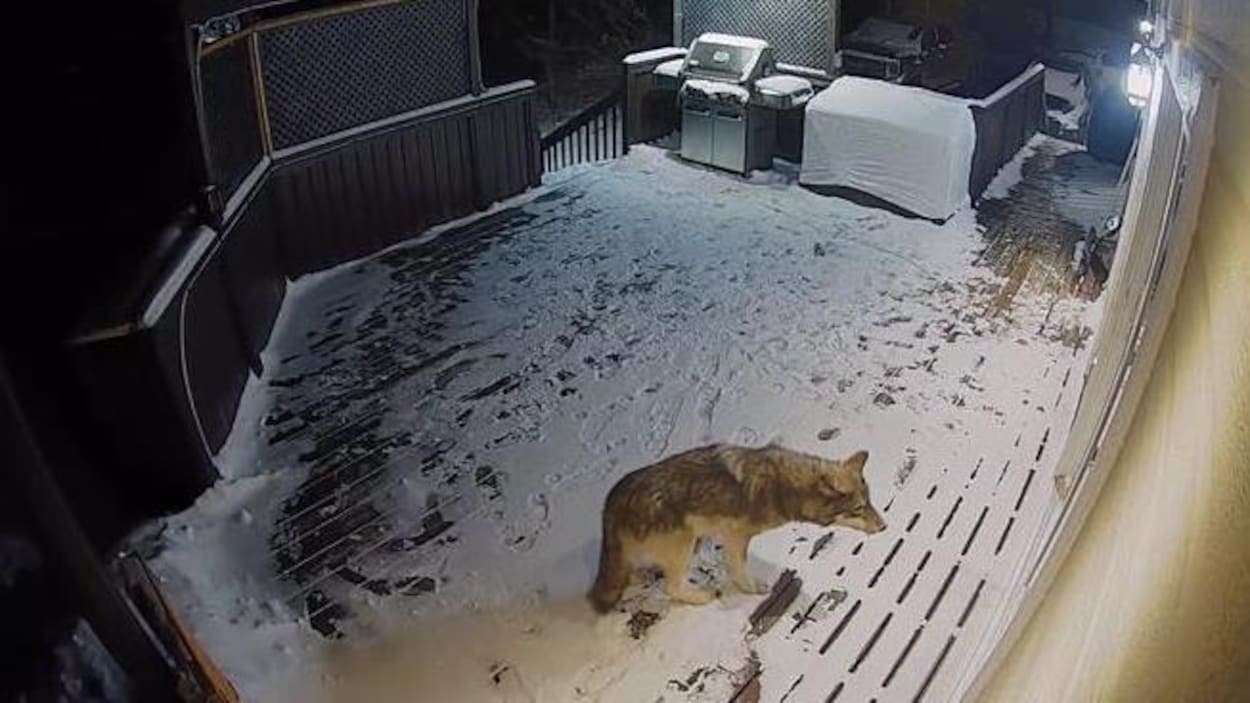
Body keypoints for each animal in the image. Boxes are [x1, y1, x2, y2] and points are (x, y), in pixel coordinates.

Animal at [589, 443, 886, 613]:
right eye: (858, 509)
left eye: (869, 502)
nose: (884, 527)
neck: (783, 485)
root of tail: (613, 500)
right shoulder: (735, 536)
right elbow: (739, 570)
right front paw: (752, 589)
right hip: (686, 544)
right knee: (671, 587)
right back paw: (700, 597)